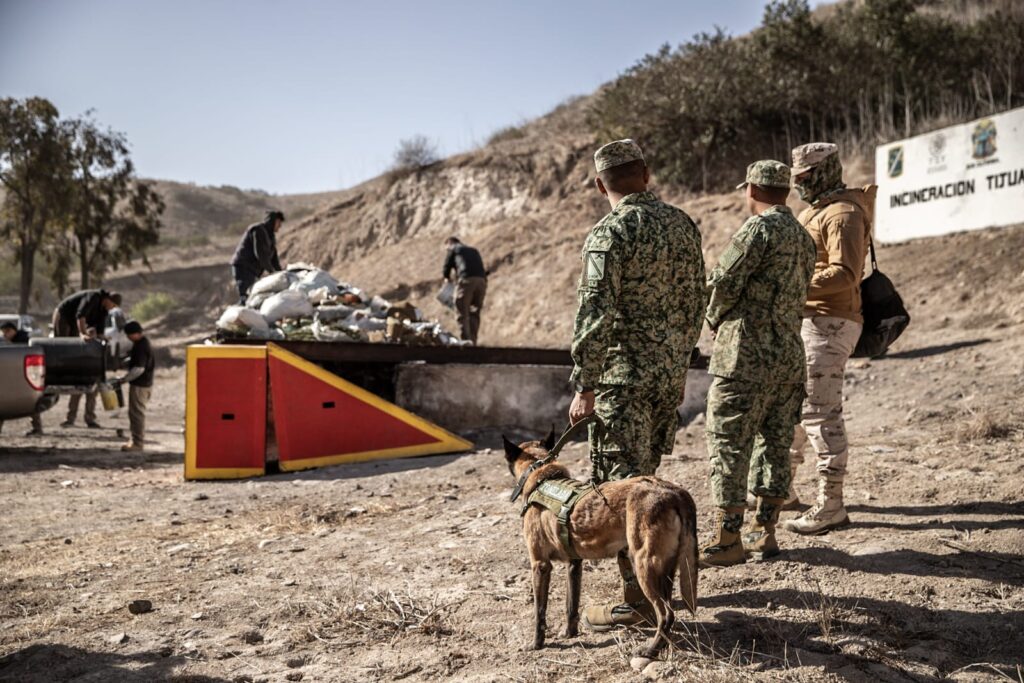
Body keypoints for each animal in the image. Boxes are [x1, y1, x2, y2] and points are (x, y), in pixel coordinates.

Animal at [501, 430, 696, 659]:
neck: (540, 473)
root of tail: (673, 492)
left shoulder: (540, 565)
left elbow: (539, 612)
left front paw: (536, 643)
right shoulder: (574, 564)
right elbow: (571, 605)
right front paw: (569, 633)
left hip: (644, 566)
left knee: (666, 614)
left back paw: (650, 650)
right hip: (664, 569)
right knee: (667, 611)